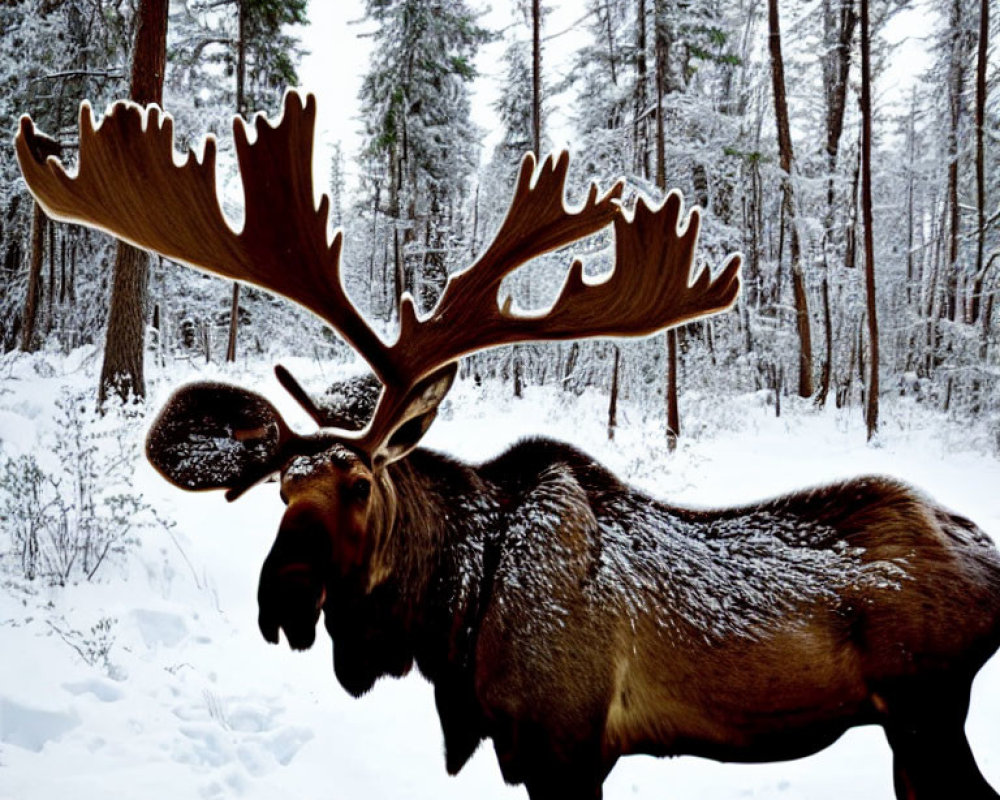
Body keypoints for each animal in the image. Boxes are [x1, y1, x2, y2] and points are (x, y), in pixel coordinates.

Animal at [15, 90, 1000, 796]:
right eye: (281, 490)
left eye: (361, 485)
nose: (283, 594)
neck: (447, 621)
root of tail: (986, 554)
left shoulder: (568, 746)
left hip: (925, 714)